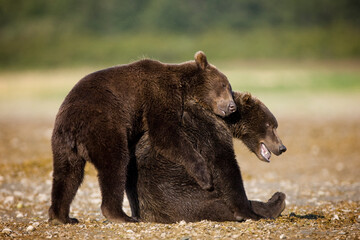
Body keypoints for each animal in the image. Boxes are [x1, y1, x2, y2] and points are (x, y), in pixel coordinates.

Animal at [49, 51, 238, 224]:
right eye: (224, 85)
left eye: (229, 87)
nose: (232, 106)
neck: (181, 86)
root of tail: (73, 126)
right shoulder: (158, 94)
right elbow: (165, 133)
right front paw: (205, 177)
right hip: (103, 125)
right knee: (115, 164)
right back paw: (123, 216)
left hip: (62, 142)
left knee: (67, 175)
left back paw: (62, 217)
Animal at [126, 91, 286, 223]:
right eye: (271, 125)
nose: (282, 147)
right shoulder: (208, 130)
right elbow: (225, 167)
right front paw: (248, 212)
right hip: (181, 192)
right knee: (212, 205)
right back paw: (275, 202)